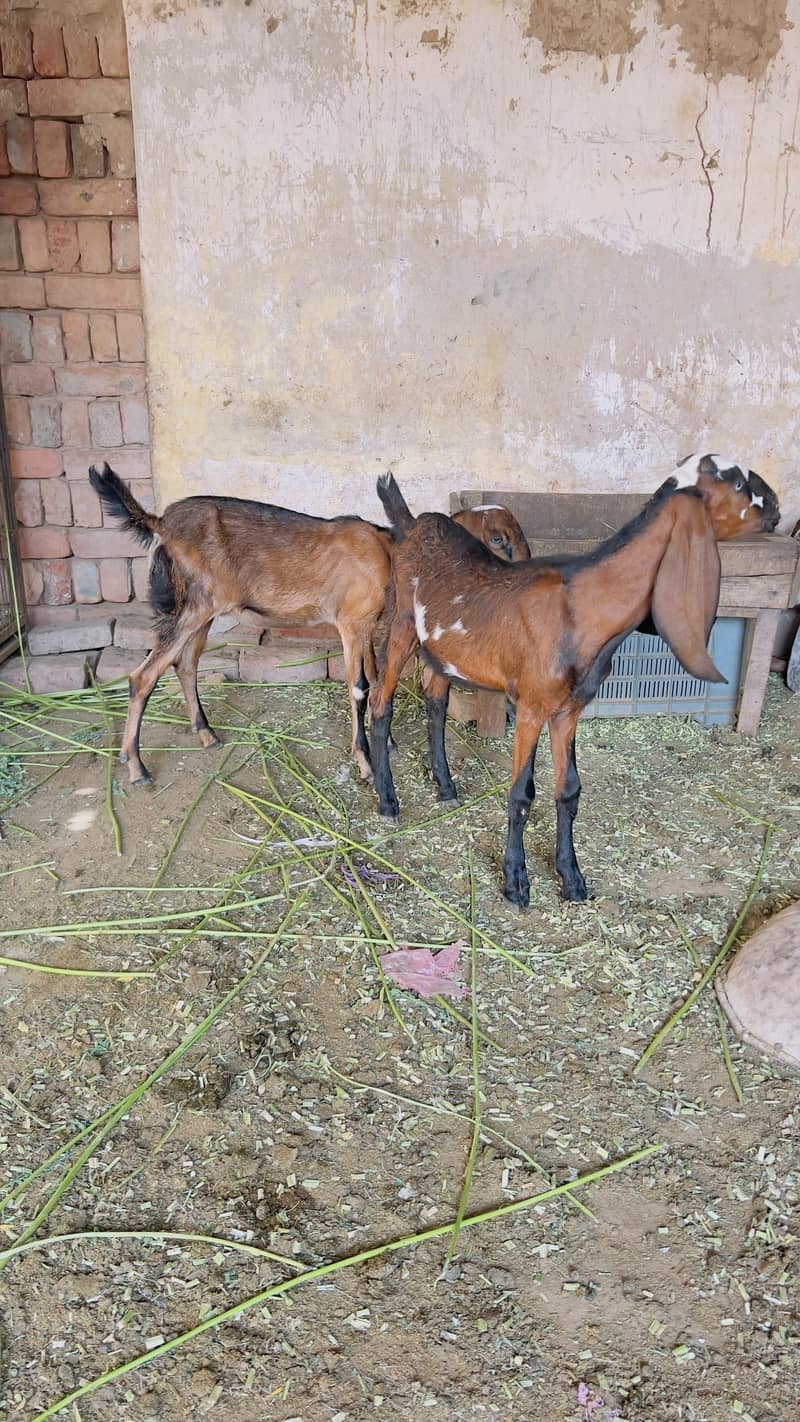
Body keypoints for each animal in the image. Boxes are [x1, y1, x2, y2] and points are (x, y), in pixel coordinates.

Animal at [368, 464, 780, 909]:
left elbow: (569, 790)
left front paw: (571, 878)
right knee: (380, 702)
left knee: (435, 703)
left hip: (441, 651)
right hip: (401, 626)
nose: (777, 507)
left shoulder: (569, 710)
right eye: (736, 482)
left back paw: (445, 786)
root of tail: (413, 523)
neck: (580, 609)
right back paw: (387, 799)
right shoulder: (531, 706)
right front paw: (516, 883)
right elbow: (521, 794)